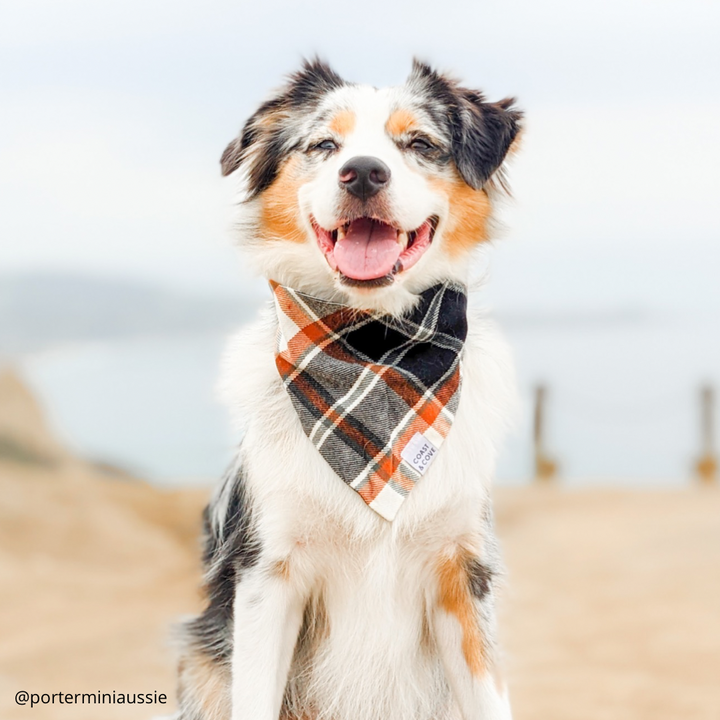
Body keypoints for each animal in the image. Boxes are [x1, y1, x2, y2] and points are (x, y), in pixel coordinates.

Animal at [174, 57, 524, 720]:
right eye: (324, 146)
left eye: (419, 144)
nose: (362, 172)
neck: (375, 343)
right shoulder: (267, 573)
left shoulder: (463, 572)